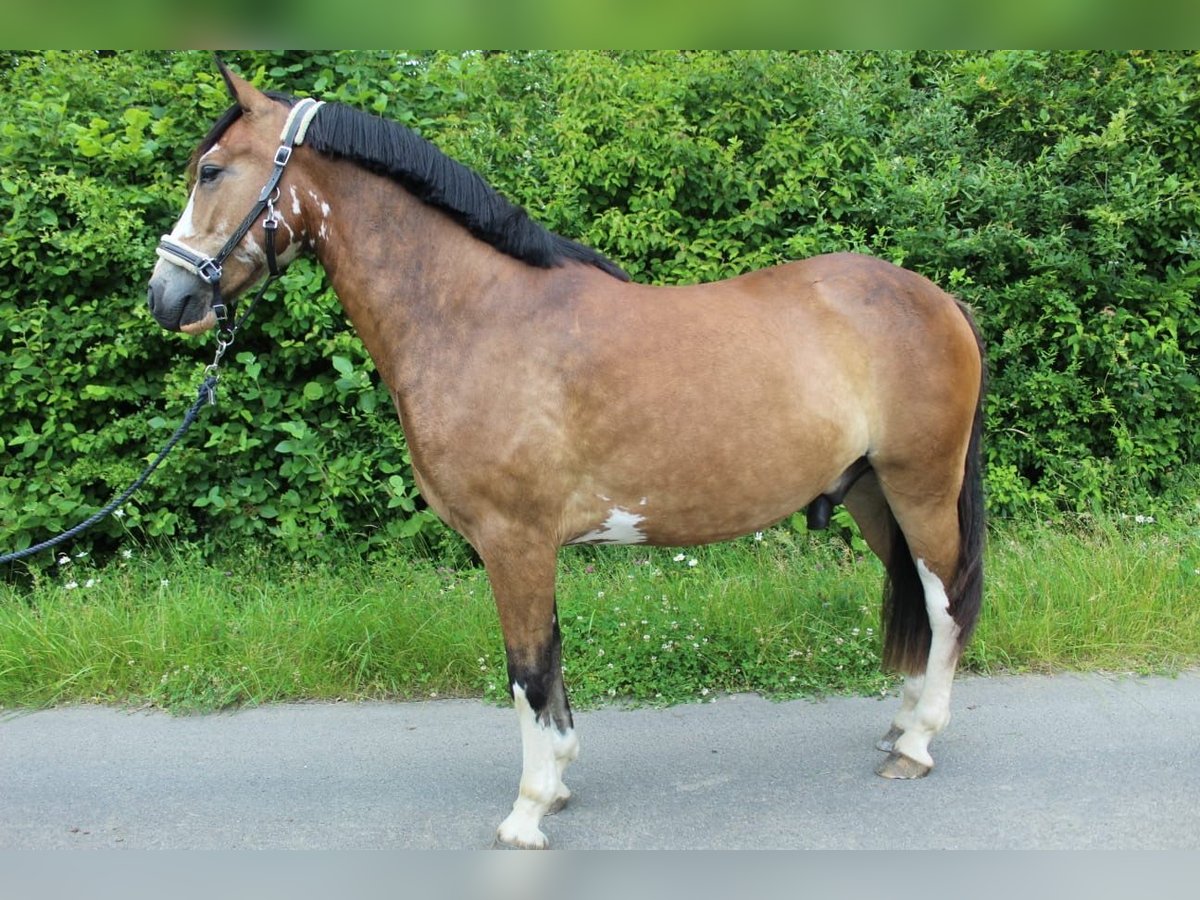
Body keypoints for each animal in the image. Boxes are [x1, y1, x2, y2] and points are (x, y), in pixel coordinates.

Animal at [147, 65, 984, 854]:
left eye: (211, 170)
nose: (166, 298)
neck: (474, 316)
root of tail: (936, 299)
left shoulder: (513, 539)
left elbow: (527, 671)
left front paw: (526, 813)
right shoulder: (527, 543)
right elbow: (549, 665)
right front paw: (554, 786)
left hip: (919, 485)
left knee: (944, 599)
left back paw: (917, 743)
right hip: (870, 494)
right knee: (917, 592)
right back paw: (899, 724)